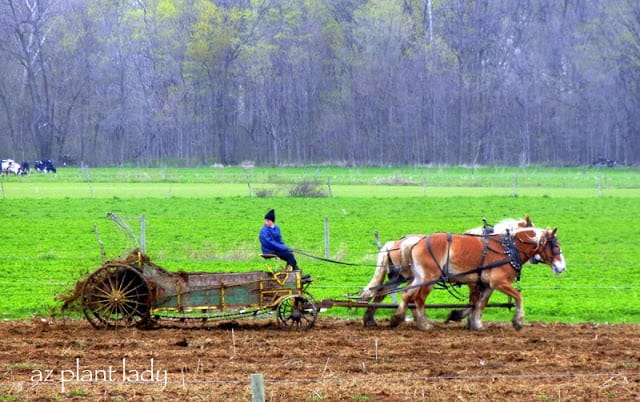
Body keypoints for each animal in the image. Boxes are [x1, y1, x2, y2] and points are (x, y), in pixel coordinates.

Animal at [360, 217, 536, 326]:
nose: (535, 258)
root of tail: (394, 244)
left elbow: (477, 301)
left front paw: (466, 319)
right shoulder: (475, 281)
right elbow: (475, 300)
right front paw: (462, 317)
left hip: (399, 277)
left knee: (383, 292)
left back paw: (371, 318)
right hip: (412, 276)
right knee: (403, 295)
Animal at [390, 228, 564, 332]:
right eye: (555, 245)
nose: (561, 268)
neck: (509, 249)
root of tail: (418, 241)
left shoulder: (488, 285)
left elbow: (480, 303)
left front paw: (475, 323)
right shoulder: (499, 282)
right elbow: (519, 297)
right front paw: (518, 321)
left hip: (419, 277)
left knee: (406, 295)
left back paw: (397, 318)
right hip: (430, 277)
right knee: (419, 299)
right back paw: (424, 324)